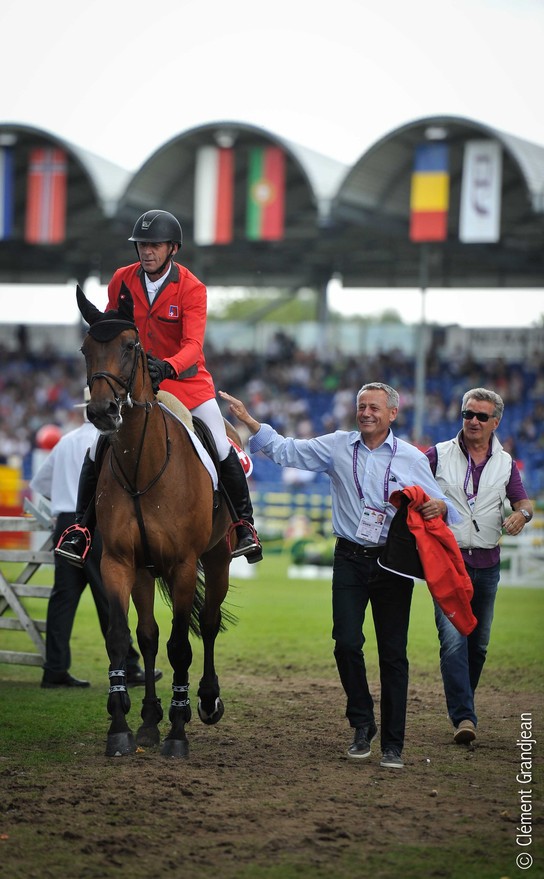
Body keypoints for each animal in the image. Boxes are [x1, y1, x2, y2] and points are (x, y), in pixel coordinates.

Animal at [76, 286, 236, 760]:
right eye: (85, 349)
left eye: (132, 346)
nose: (104, 410)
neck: (142, 465)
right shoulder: (118, 562)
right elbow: (122, 636)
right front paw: (122, 726)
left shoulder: (183, 565)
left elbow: (181, 646)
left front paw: (178, 731)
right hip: (145, 571)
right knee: (148, 634)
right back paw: (149, 720)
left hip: (217, 559)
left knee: (209, 623)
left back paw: (206, 700)